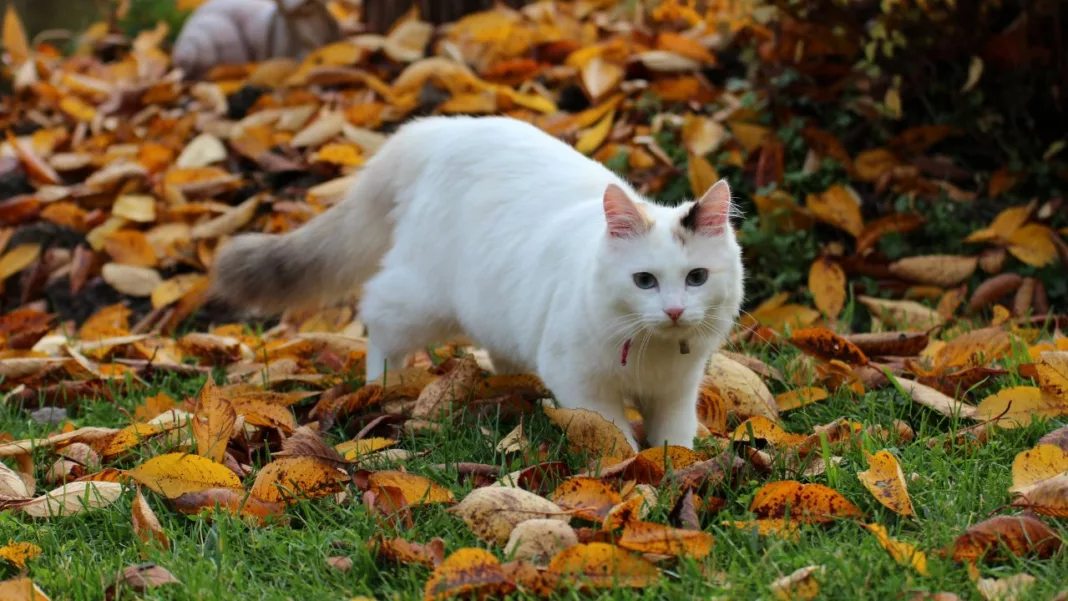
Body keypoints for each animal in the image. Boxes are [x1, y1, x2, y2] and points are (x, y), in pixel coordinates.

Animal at [208, 115, 743, 452]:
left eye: (696, 278)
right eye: (644, 281)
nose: (674, 311)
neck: (653, 353)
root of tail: (442, 129)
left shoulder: (676, 391)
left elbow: (673, 440)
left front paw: (672, 469)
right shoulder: (583, 382)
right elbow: (615, 436)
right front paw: (633, 471)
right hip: (422, 299)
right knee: (377, 318)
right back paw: (382, 386)